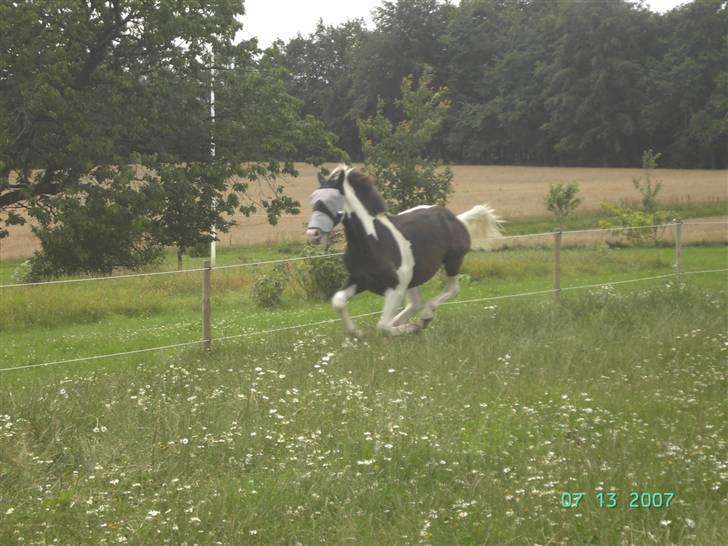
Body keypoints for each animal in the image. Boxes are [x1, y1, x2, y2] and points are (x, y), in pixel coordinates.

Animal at [304, 165, 504, 336]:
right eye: (312, 198)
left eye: (333, 199)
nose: (312, 234)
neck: (372, 243)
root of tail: (457, 219)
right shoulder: (358, 280)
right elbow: (338, 301)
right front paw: (357, 333)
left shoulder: (395, 287)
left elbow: (383, 327)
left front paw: (410, 328)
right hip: (413, 278)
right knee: (416, 303)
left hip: (453, 261)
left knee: (451, 290)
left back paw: (424, 317)